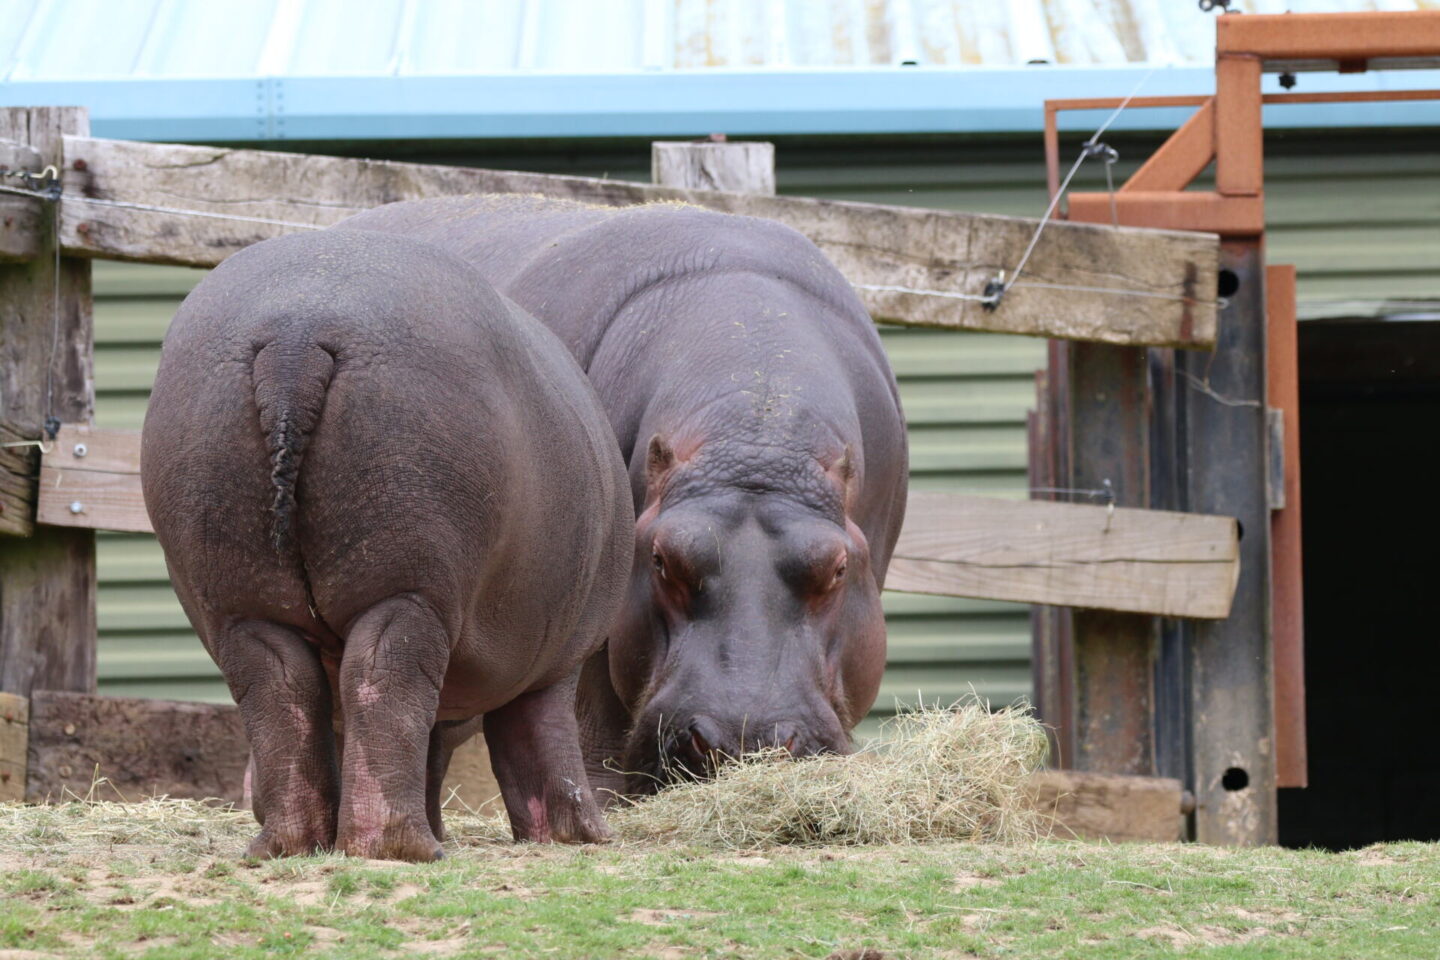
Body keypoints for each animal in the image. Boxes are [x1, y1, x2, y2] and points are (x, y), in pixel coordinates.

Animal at [141, 228, 632, 860]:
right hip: (411, 590)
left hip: (240, 601)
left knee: (284, 692)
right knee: (385, 684)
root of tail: (296, 337)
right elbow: (540, 743)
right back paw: (404, 849)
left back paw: (290, 845)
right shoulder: (556, 656)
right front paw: (584, 837)